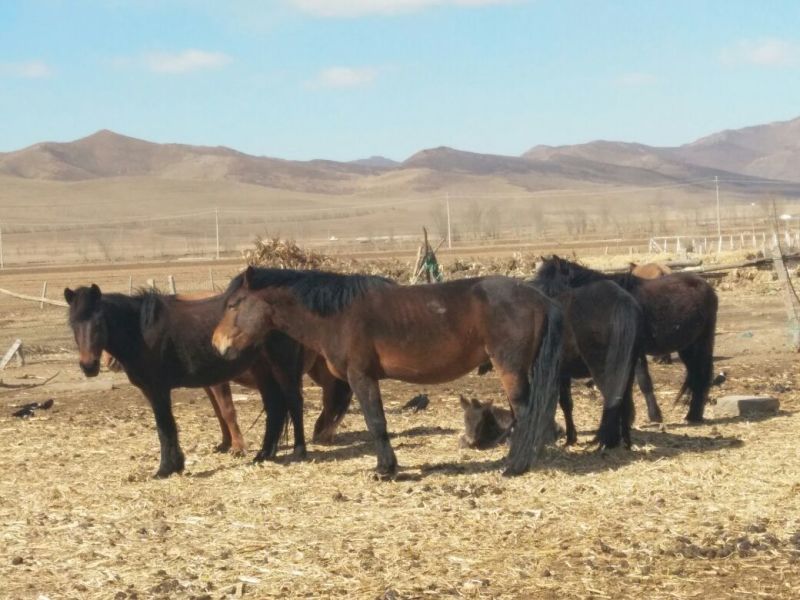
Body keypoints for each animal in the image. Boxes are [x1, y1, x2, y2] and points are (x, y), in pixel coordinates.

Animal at [64, 285, 351, 478]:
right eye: (73, 325)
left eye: (99, 323)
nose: (89, 366)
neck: (142, 331)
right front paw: (176, 465)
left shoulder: (158, 390)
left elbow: (165, 427)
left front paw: (166, 468)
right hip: (263, 371)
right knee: (276, 408)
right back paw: (263, 454)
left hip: (284, 367)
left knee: (295, 403)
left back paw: (300, 451)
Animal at [212, 267, 563, 476]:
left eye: (234, 304)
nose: (217, 344)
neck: (337, 314)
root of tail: (539, 298)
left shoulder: (361, 377)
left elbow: (376, 423)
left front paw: (384, 469)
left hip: (510, 368)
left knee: (526, 414)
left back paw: (515, 466)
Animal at [535, 256, 718, 423]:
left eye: (551, 288)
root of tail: (705, 285)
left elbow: (643, 382)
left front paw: (654, 416)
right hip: (687, 346)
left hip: (702, 343)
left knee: (702, 374)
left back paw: (693, 416)